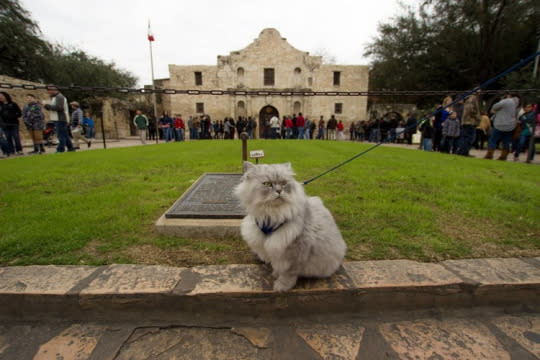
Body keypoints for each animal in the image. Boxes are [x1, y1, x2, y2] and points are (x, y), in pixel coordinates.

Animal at [235, 162, 346, 292]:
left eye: (284, 183)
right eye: (267, 184)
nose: (279, 191)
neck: (272, 214)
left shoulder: (294, 253)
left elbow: (288, 274)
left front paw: (281, 286)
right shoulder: (274, 248)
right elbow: (276, 266)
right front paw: (275, 274)